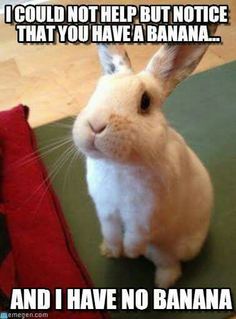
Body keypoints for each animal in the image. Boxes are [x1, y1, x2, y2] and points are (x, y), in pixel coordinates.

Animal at [73, 27, 216, 288]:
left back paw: (163, 282)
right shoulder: (105, 210)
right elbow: (109, 230)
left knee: (170, 264)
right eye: (97, 90)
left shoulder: (145, 215)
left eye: (145, 101)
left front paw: (129, 252)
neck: (117, 164)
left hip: (163, 248)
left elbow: (135, 234)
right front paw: (113, 250)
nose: (96, 125)